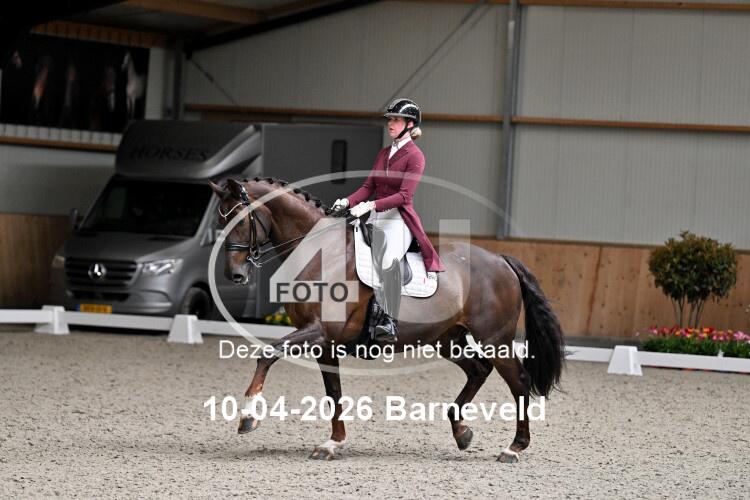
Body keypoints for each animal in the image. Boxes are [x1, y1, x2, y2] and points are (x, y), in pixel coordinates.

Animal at [209, 177, 565, 462]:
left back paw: (513, 448)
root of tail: (501, 260)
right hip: (447, 339)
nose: (234, 274)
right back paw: (461, 432)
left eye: (240, 221)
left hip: (495, 338)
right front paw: (333, 443)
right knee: (478, 370)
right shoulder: (325, 343)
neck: (321, 253)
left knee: (518, 381)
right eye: (219, 222)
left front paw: (248, 417)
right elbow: (334, 392)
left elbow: (267, 354)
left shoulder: (317, 332)